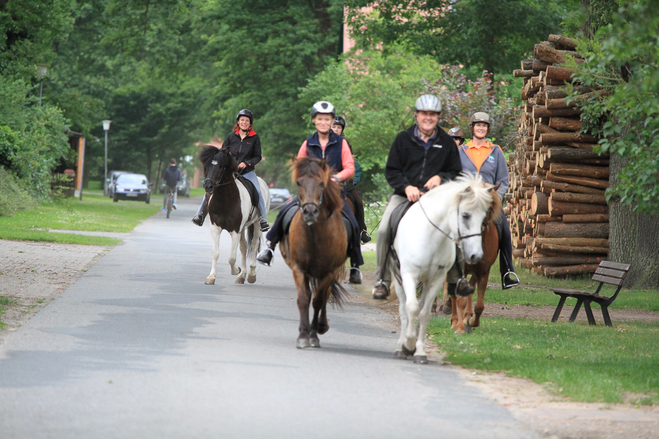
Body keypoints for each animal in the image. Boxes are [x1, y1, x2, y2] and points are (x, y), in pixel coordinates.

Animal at [199, 146, 270, 288]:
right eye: (207, 165)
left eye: (221, 166)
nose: (208, 186)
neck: (225, 200)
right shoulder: (215, 228)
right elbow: (215, 253)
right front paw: (211, 277)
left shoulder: (235, 230)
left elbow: (232, 257)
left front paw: (236, 270)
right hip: (242, 228)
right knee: (244, 247)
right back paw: (242, 276)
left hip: (256, 224)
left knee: (254, 246)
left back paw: (251, 275)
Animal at [280, 158, 350, 350]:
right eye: (298, 182)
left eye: (320, 183)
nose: (310, 212)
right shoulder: (298, 269)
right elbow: (304, 298)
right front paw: (303, 335)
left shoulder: (329, 272)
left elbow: (318, 300)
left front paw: (313, 335)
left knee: (324, 295)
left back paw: (321, 326)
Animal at [390, 175, 498, 364]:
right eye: (465, 215)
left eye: (487, 212)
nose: (475, 254)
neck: (430, 237)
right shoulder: (409, 275)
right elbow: (411, 308)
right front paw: (408, 345)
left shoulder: (439, 278)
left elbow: (425, 313)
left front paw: (419, 351)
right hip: (399, 279)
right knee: (404, 310)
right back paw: (400, 347)